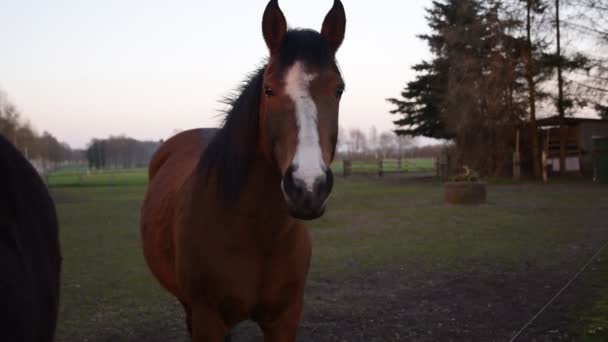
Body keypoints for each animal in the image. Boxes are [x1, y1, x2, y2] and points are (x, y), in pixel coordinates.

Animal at [140, 0, 344, 340]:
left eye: (339, 89)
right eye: (269, 90)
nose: (308, 187)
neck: (256, 230)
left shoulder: (285, 318)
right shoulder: (207, 318)